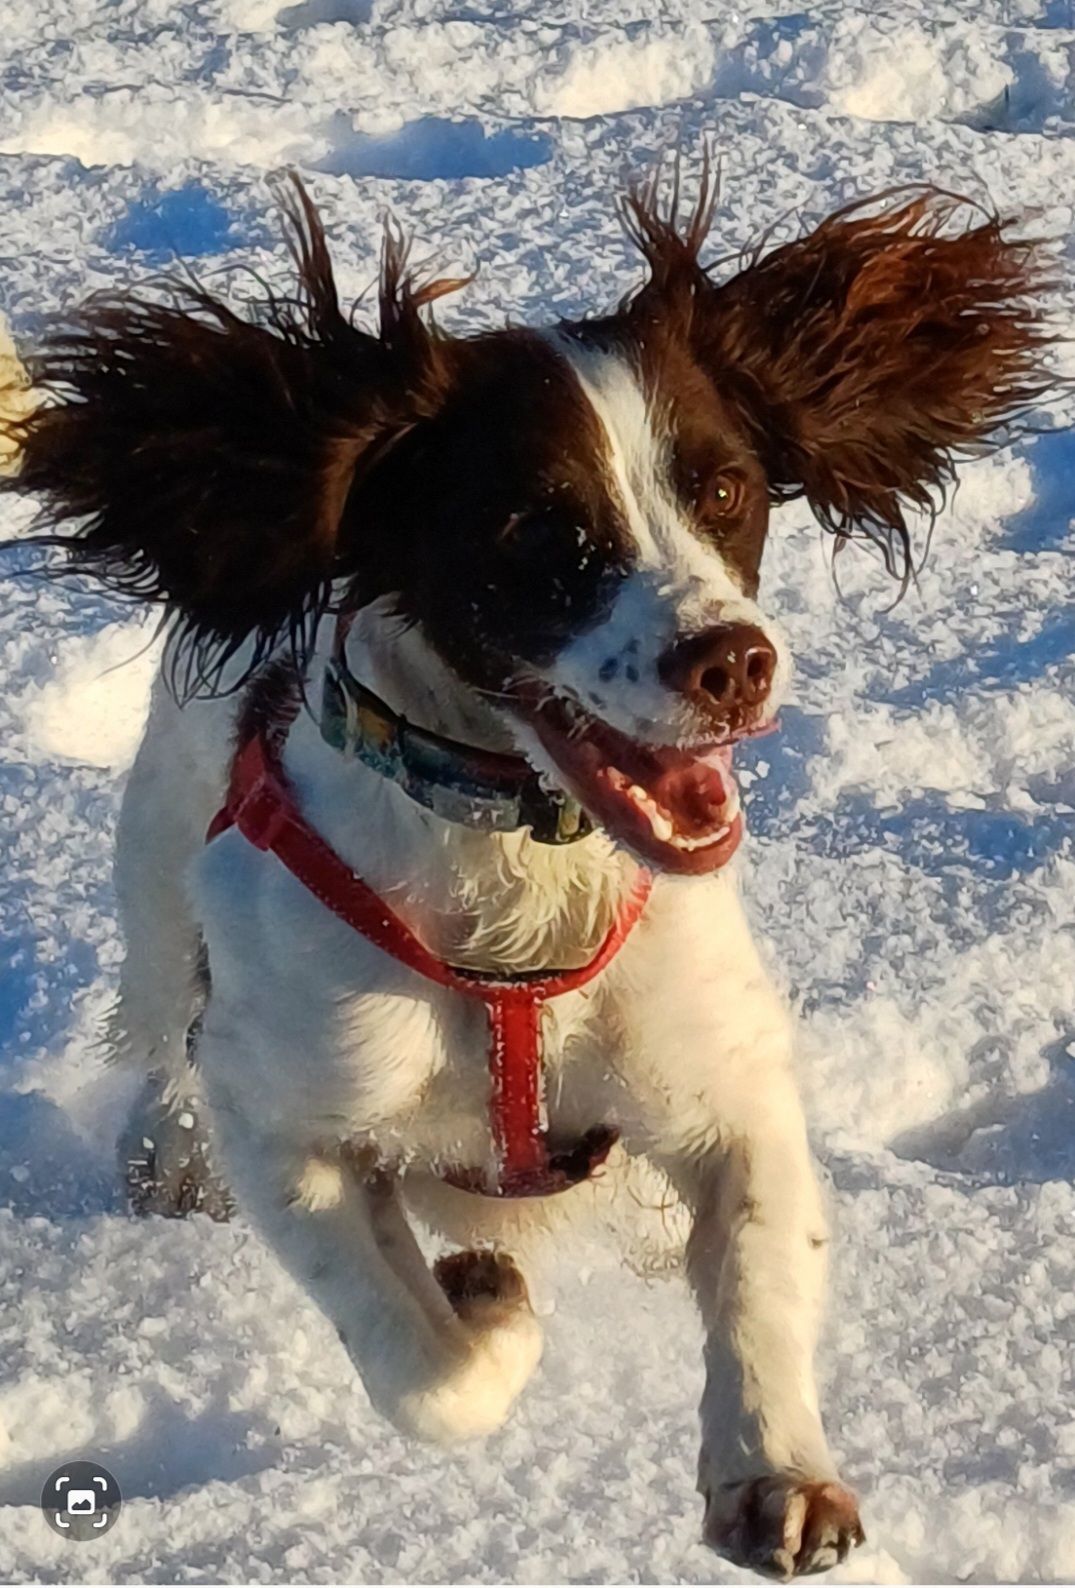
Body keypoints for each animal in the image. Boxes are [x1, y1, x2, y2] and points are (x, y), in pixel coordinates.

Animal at [2, 167, 1048, 1581]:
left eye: (726, 491)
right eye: (541, 530)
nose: (737, 662)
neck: (518, 886)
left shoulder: (727, 1086)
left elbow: (762, 1265)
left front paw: (775, 1472)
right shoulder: (286, 1117)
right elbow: (419, 1363)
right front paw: (486, 1303)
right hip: (162, 877)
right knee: (164, 1023)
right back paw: (170, 1157)